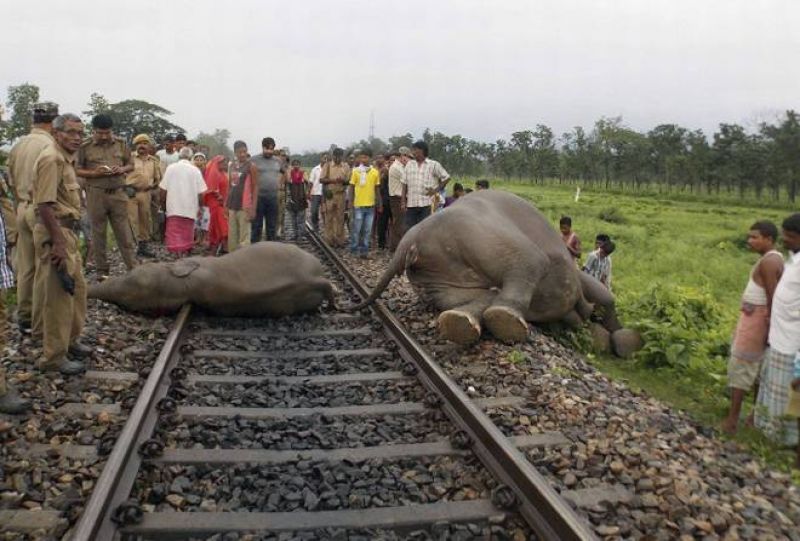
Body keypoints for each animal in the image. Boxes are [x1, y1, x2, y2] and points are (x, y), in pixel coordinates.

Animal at [350, 191, 644, 358]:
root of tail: (411, 240)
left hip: (440, 269)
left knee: (484, 292)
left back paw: (463, 323)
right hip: (479, 236)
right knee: (528, 262)